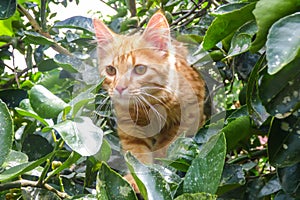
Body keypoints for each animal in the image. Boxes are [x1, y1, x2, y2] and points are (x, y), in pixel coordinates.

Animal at [93, 11, 206, 166]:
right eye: (111, 70)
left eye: (140, 69)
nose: (120, 88)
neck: (148, 104)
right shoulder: (130, 129)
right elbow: (138, 159)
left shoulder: (188, 114)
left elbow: (167, 146)